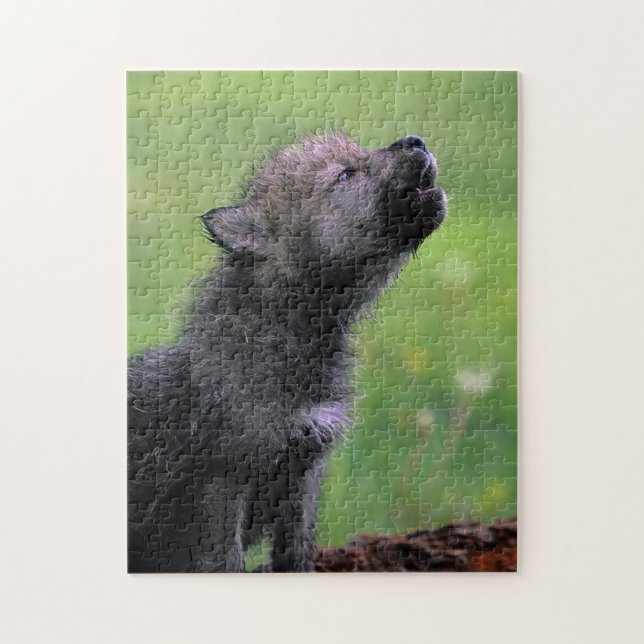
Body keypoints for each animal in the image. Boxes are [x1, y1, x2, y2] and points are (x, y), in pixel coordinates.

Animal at [128, 132, 446, 572]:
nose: (416, 140)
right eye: (345, 174)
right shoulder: (223, 482)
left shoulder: (304, 472)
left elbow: (296, 551)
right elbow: (227, 561)